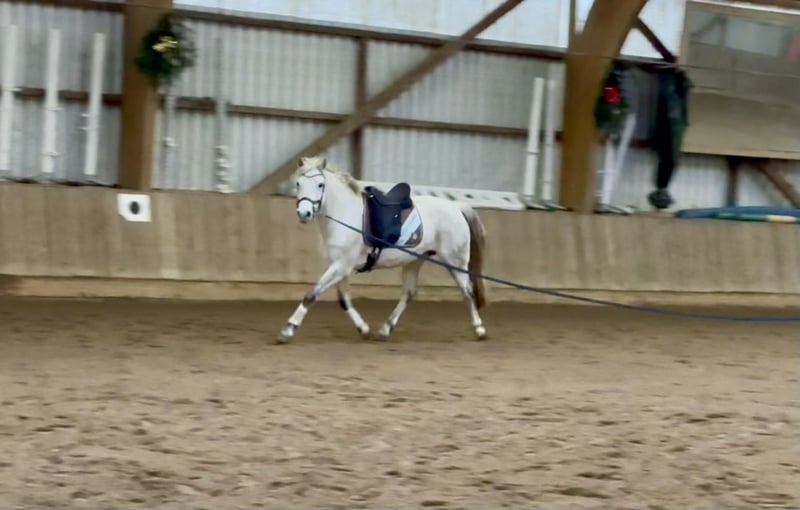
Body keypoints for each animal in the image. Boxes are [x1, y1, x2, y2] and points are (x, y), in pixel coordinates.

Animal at [277, 155, 488, 344]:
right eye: (298, 183)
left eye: (320, 184)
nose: (304, 213)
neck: (344, 214)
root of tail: (457, 207)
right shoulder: (339, 266)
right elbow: (344, 301)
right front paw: (363, 329)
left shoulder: (341, 266)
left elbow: (311, 295)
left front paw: (288, 329)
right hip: (415, 260)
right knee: (409, 293)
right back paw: (386, 329)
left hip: (455, 261)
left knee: (467, 290)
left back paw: (479, 329)